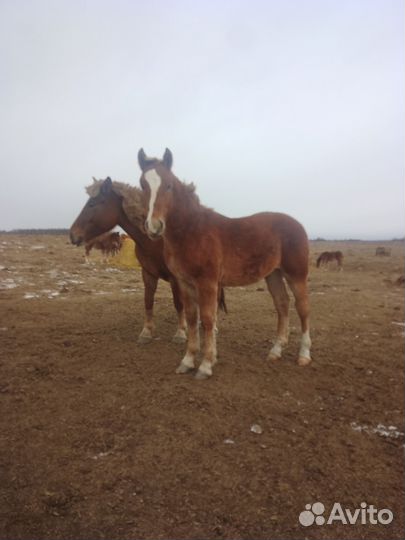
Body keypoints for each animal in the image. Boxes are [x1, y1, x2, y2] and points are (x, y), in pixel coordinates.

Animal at [70, 179, 227, 344]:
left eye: (92, 203)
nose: (73, 234)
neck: (156, 241)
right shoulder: (148, 273)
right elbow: (148, 301)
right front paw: (146, 331)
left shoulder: (175, 278)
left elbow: (178, 304)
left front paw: (180, 332)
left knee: (214, 300)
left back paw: (213, 327)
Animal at [137, 148, 310, 380]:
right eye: (142, 185)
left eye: (169, 185)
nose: (154, 227)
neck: (191, 232)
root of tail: (297, 225)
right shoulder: (185, 282)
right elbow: (191, 318)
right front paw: (188, 361)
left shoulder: (208, 282)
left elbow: (208, 319)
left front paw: (206, 365)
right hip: (273, 274)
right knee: (282, 304)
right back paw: (275, 351)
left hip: (296, 274)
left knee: (303, 308)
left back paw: (304, 355)